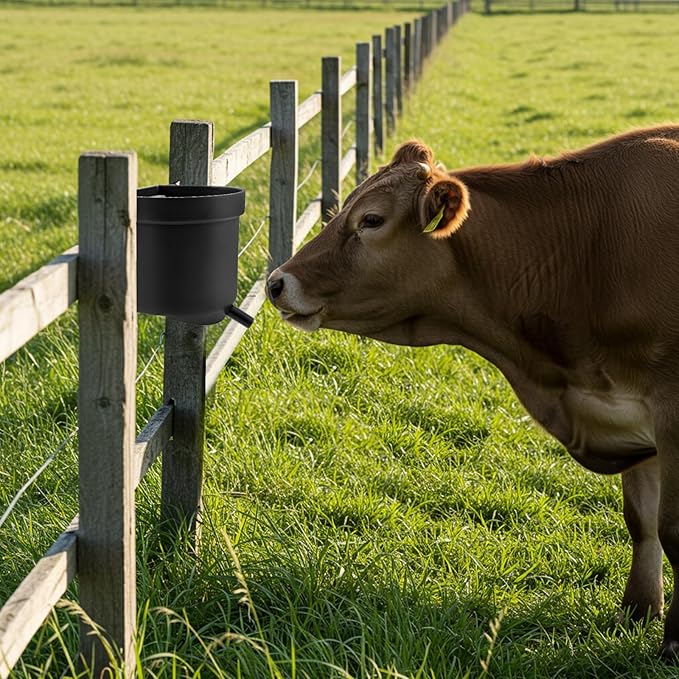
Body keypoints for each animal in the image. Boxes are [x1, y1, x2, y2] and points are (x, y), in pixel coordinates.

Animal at [265, 125, 679, 659]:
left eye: (371, 220)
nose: (276, 282)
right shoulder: (630, 412)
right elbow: (641, 521)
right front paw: (639, 610)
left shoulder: (669, 410)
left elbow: (672, 527)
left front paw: (674, 642)